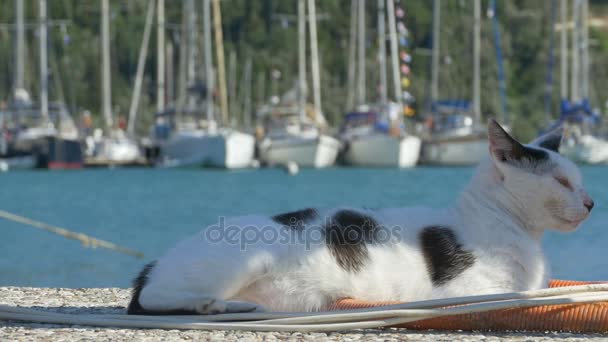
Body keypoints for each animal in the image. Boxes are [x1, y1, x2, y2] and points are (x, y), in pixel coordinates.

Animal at [126, 120, 592, 316]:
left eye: (579, 180)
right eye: (562, 182)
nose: (590, 202)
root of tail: (157, 260)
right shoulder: (471, 289)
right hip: (244, 258)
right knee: (152, 297)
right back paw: (213, 304)